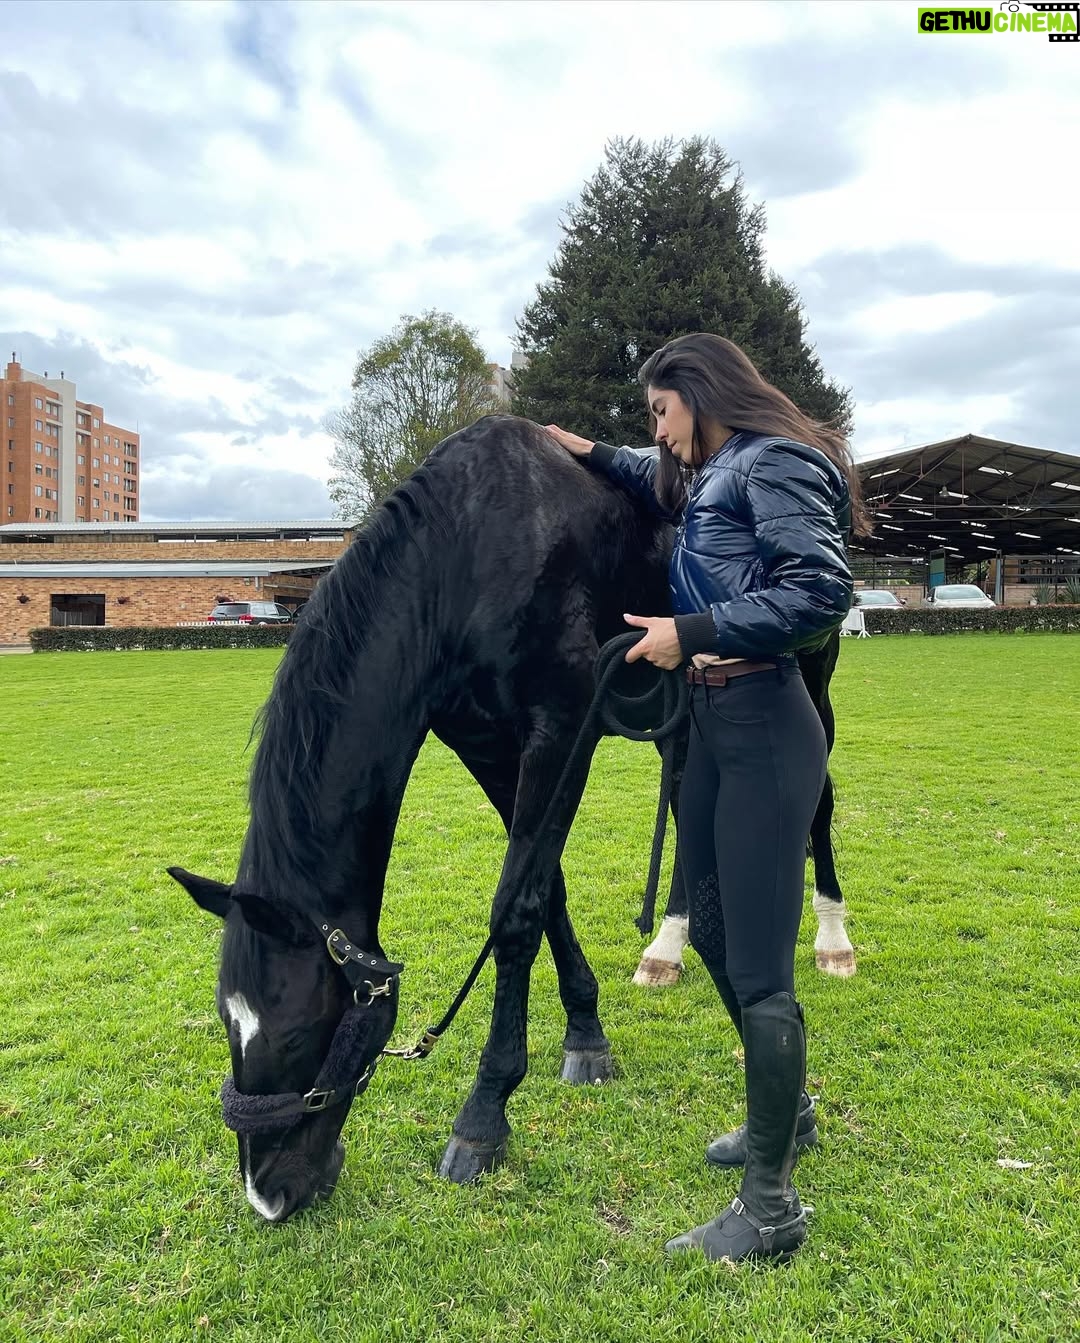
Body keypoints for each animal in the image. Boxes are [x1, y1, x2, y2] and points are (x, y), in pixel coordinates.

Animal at [169, 415, 852, 1223]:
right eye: (226, 1020)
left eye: (301, 1028)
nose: (268, 1192)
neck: (465, 554)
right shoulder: (488, 747)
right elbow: (544, 888)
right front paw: (586, 1034)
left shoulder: (560, 732)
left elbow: (516, 911)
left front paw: (485, 1113)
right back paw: (669, 944)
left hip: (807, 676)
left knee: (816, 802)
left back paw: (833, 937)